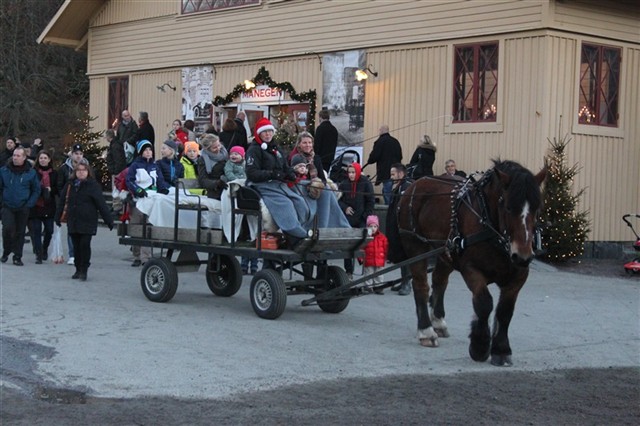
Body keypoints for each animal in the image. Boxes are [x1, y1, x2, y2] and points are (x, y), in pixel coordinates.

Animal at [396, 160, 544, 366]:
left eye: (537, 208)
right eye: (508, 207)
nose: (522, 256)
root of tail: (414, 184)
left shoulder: (519, 275)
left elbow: (505, 311)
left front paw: (501, 349)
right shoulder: (471, 269)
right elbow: (484, 303)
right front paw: (480, 346)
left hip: (446, 252)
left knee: (439, 281)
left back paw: (438, 322)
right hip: (415, 244)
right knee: (421, 286)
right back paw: (426, 331)